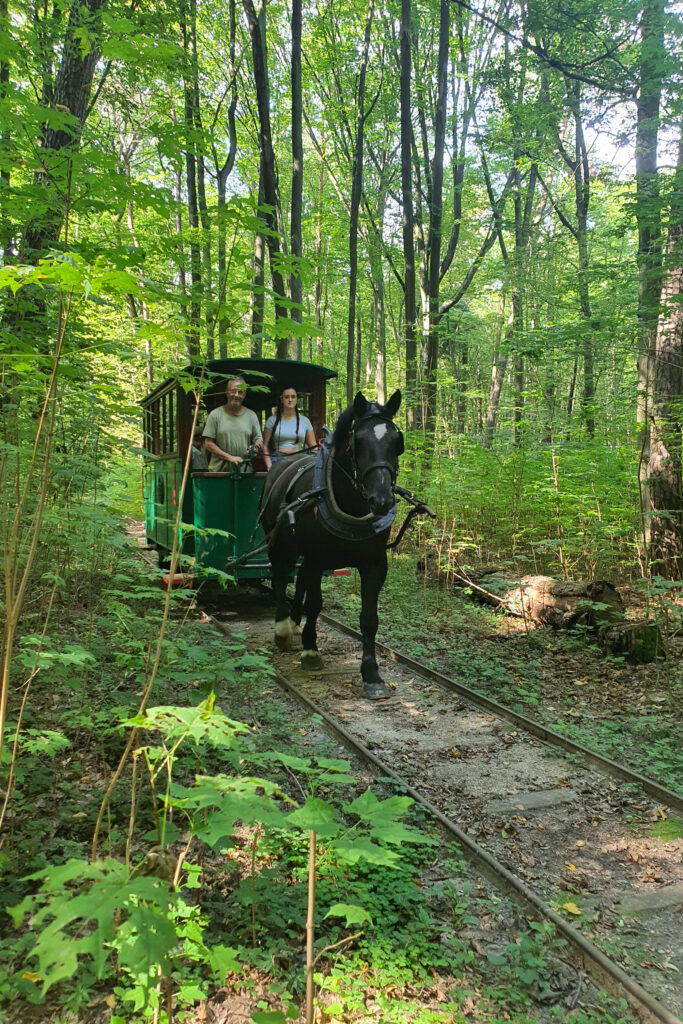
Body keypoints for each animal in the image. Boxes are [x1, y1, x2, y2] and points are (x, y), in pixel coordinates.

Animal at [259, 387, 403, 700]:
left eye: (397, 441)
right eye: (358, 441)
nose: (382, 500)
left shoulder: (375, 564)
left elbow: (369, 618)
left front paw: (372, 674)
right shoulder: (317, 558)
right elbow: (315, 604)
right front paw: (311, 651)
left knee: (297, 577)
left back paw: (294, 621)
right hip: (277, 542)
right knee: (279, 576)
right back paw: (283, 628)